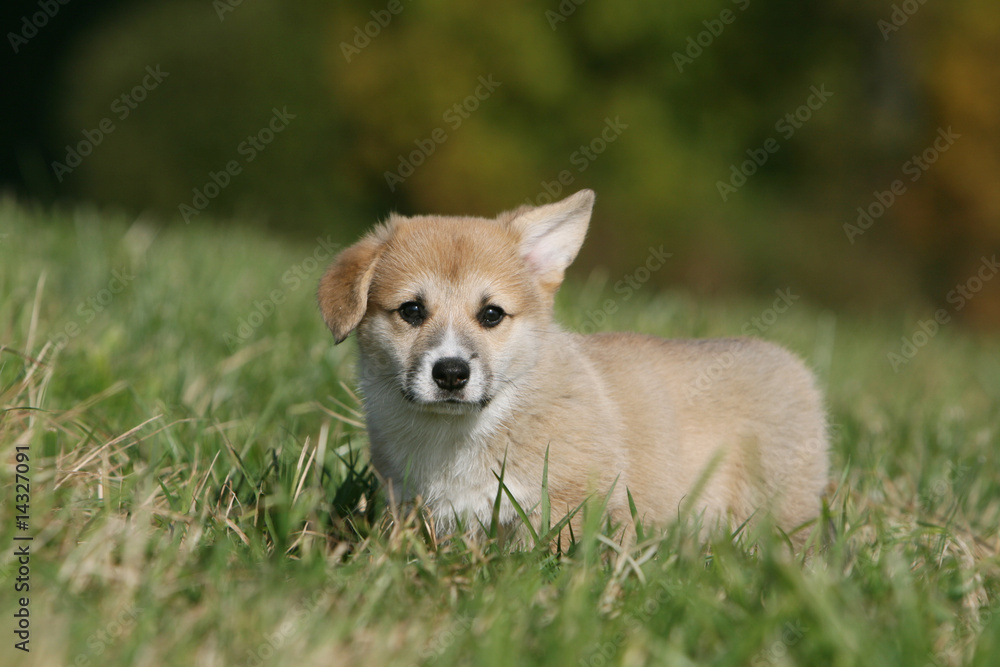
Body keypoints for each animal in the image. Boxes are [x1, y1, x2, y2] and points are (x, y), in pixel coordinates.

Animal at [318, 190, 828, 544]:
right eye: (411, 311)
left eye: (491, 315)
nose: (450, 374)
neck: (461, 431)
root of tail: (793, 366)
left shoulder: (574, 502)